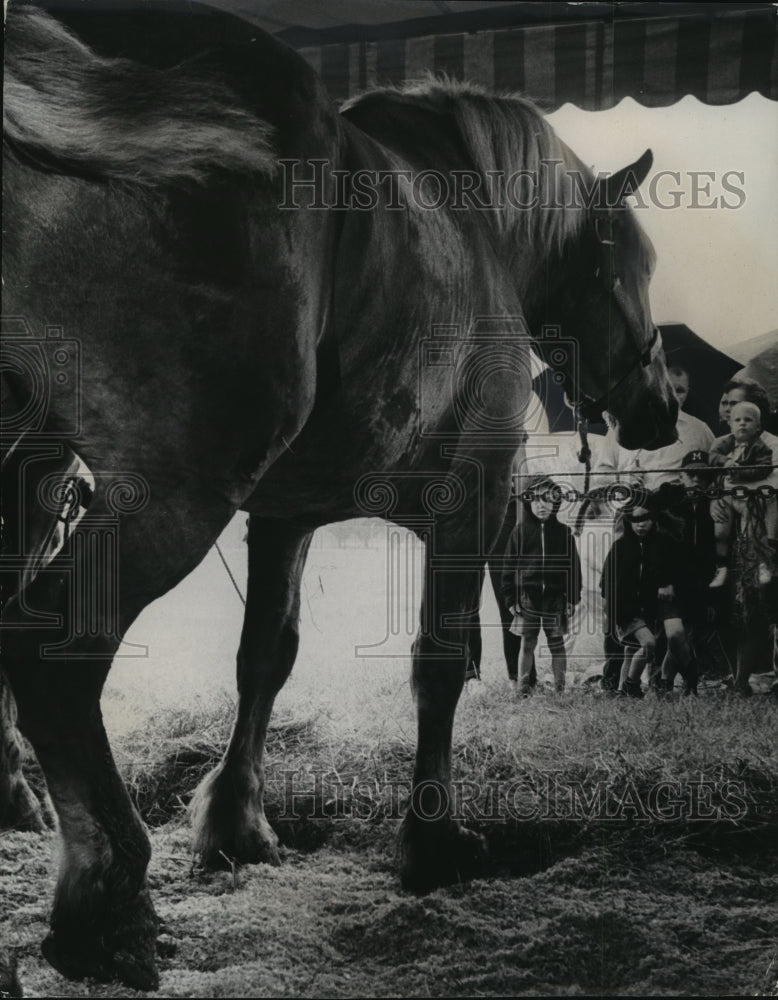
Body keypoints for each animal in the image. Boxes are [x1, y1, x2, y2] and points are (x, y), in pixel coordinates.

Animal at [1, 1, 672, 992]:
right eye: (633, 266)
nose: (660, 411)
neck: (472, 219)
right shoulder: (471, 500)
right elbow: (440, 665)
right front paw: (432, 843)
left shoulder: (284, 518)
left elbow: (265, 658)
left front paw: (236, 824)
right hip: (171, 495)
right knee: (57, 657)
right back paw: (106, 906)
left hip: (32, 474)